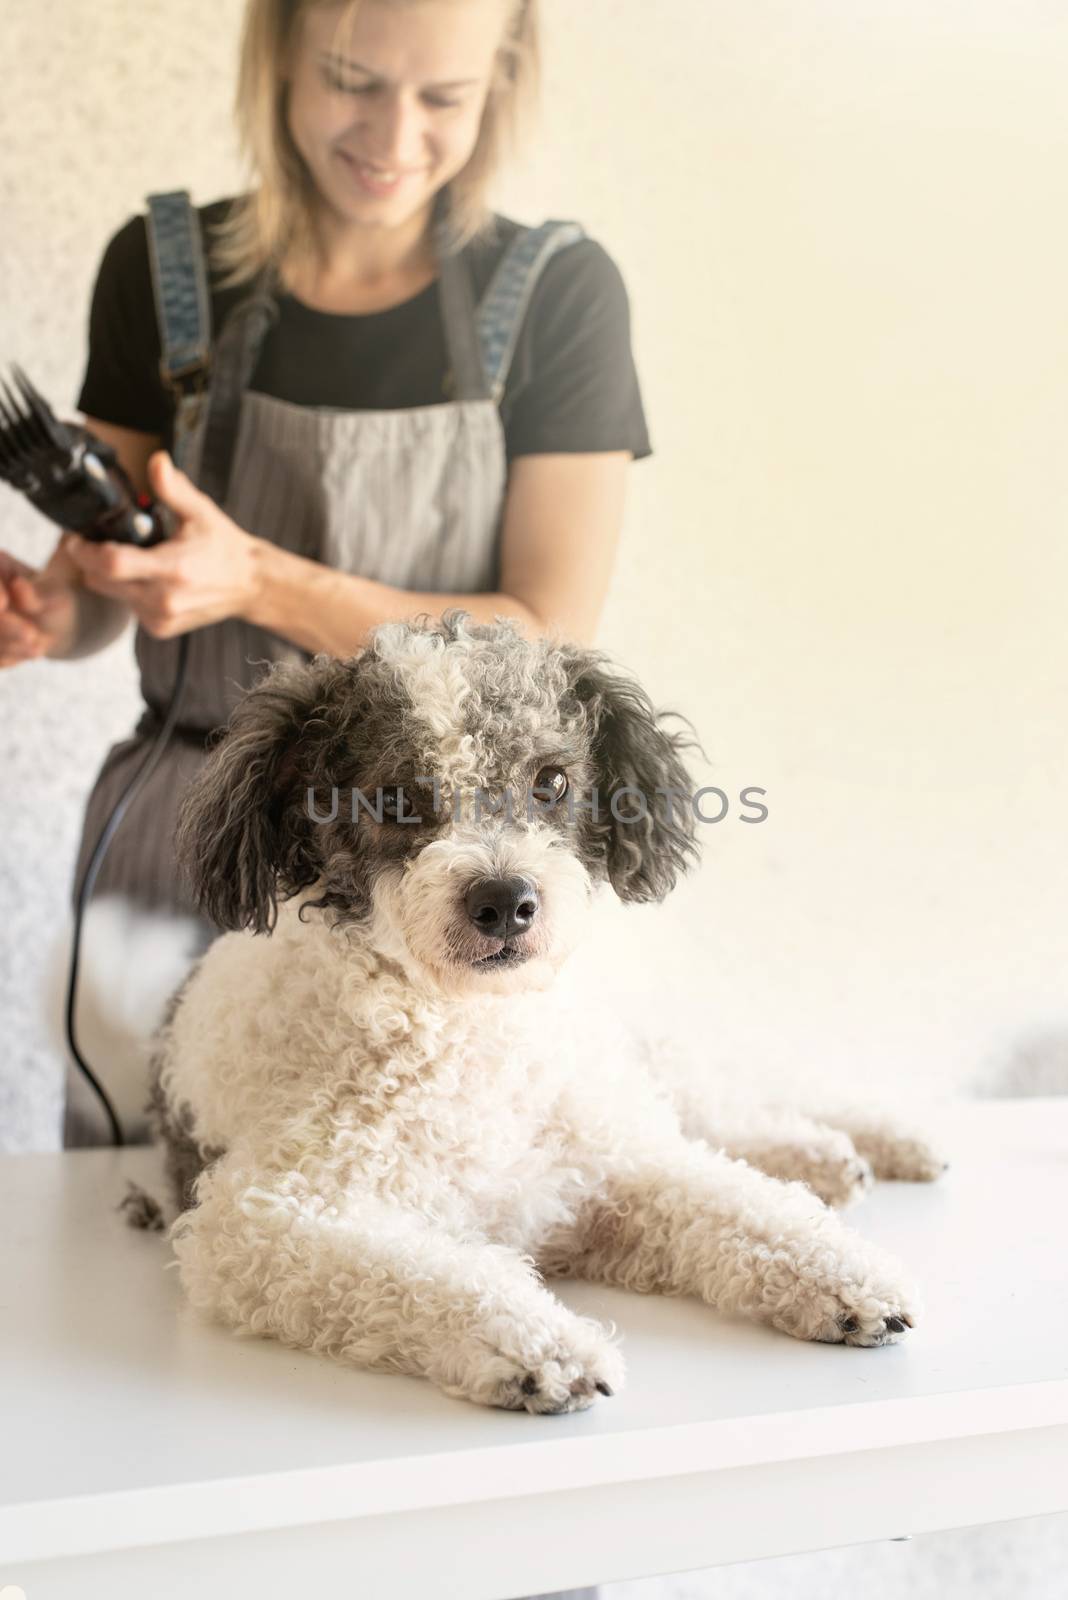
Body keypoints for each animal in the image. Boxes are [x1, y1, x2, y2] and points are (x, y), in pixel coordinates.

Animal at [120, 608, 946, 1414]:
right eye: (393, 800)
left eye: (550, 780)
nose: (504, 900)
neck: (464, 1030)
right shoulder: (266, 1218)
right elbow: (431, 1276)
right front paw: (536, 1345)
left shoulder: (616, 1163)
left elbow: (735, 1203)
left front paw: (846, 1272)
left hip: (646, 1056)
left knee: (732, 1107)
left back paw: (866, 1145)